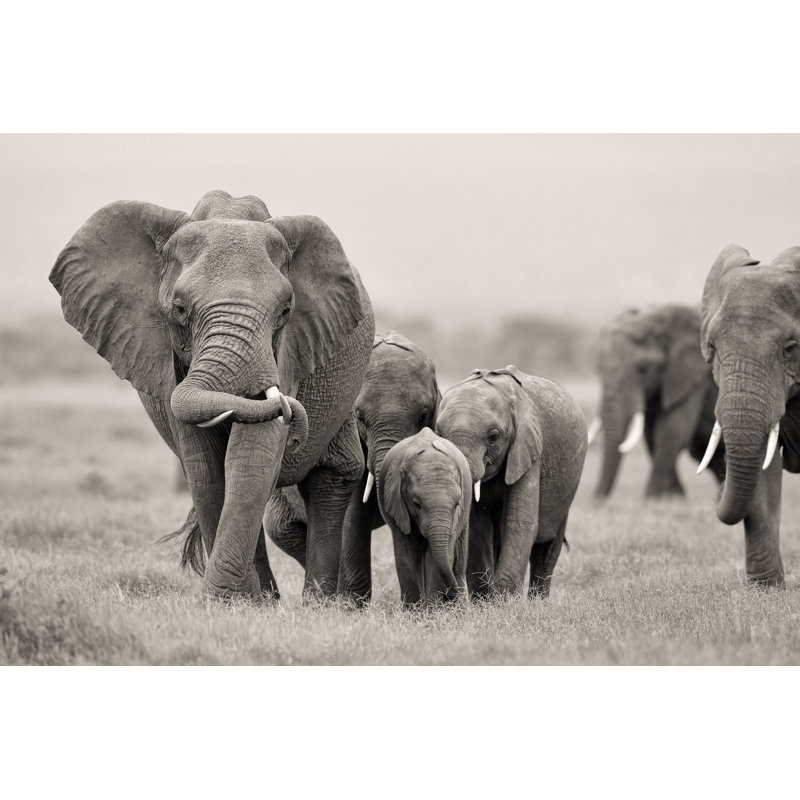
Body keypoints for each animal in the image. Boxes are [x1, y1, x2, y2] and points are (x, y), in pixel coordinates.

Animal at [49, 189, 375, 600]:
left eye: (285, 310)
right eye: (179, 309)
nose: (296, 423)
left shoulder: (291, 348)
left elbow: (252, 457)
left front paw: (230, 597)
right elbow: (204, 465)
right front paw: (240, 602)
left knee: (334, 475)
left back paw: (321, 603)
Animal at [378, 428, 470, 605]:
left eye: (456, 505)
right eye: (416, 504)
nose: (450, 595)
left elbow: (436, 557)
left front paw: (432, 609)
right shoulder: (397, 506)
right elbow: (406, 554)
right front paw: (414, 609)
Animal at [435, 365, 587, 598]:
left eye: (493, 436)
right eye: (439, 433)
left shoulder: (529, 450)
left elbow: (520, 521)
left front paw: (503, 600)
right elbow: (477, 526)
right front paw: (486, 600)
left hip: (566, 491)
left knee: (547, 551)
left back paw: (537, 602)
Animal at [590, 304, 724, 498]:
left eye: (643, 369)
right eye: (599, 371)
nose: (596, 501)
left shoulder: (691, 379)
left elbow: (672, 430)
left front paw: (654, 497)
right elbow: (651, 435)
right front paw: (672, 497)